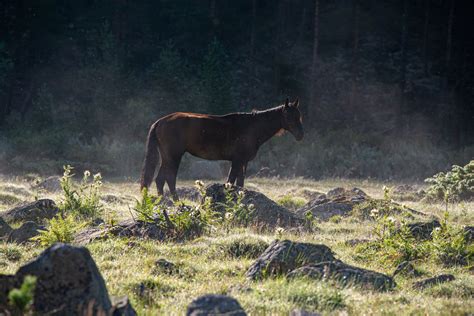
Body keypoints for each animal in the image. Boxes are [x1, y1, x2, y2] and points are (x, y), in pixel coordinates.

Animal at [141, 97, 304, 199]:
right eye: (288, 116)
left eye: (299, 116)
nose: (300, 135)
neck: (252, 127)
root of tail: (160, 121)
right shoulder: (237, 160)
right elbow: (231, 182)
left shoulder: (243, 161)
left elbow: (239, 183)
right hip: (173, 156)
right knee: (169, 178)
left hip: (167, 157)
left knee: (160, 180)